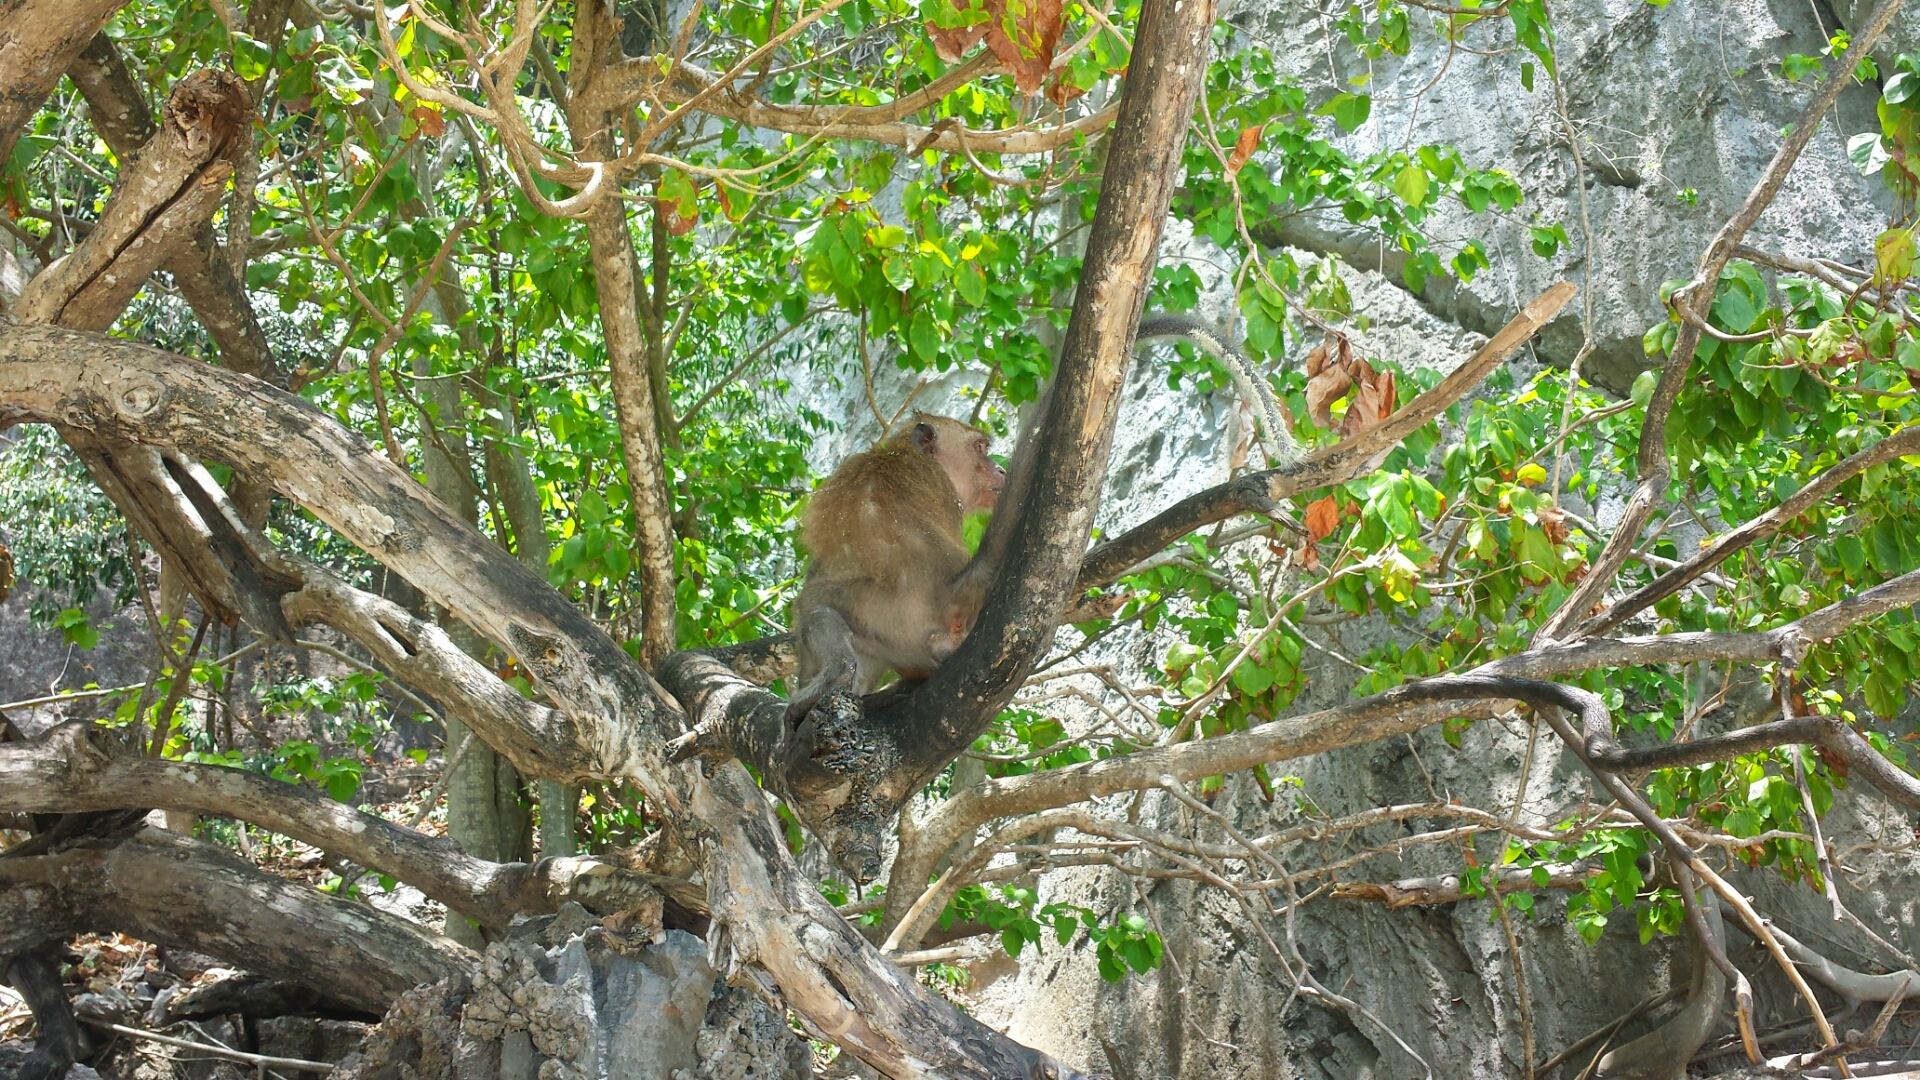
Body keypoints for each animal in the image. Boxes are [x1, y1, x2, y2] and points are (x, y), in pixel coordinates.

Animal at [779, 313, 1290, 714]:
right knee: (817, 607)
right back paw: (836, 676)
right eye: (980, 449)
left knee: (815, 606)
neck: (906, 454)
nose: (998, 467)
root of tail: (944, 597)